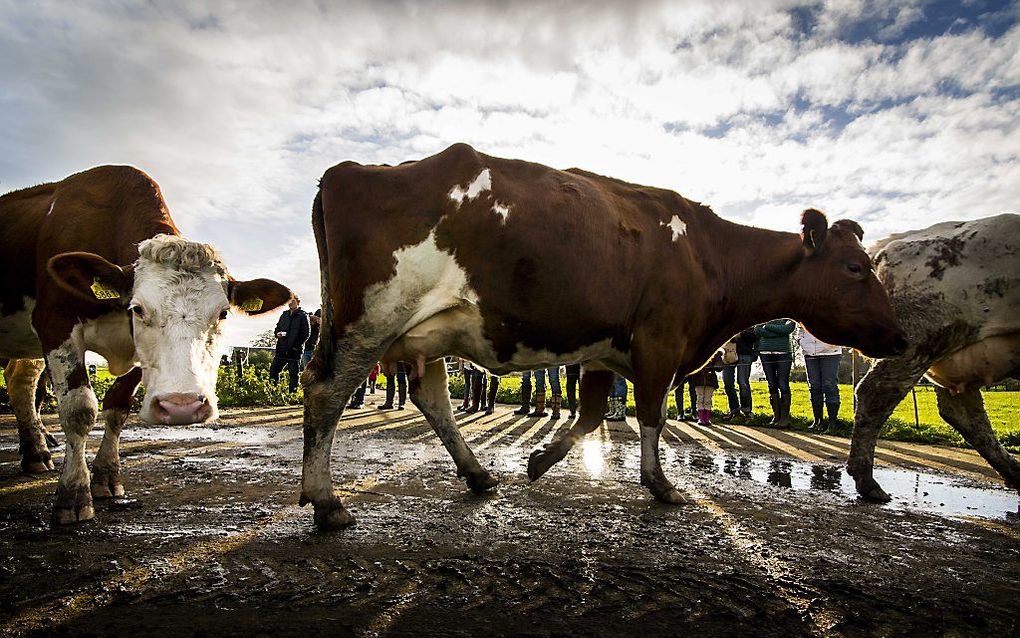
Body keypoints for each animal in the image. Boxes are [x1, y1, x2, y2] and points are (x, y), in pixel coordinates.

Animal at [1, 166, 293, 526]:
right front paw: (74, 492)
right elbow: (80, 410)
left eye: (223, 313)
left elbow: (117, 408)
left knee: (21, 383)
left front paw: (106, 476)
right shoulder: (55, 323)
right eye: (138, 309)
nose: (183, 406)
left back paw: (36, 451)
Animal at [297, 142, 905, 526]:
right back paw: (326, 502)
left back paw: (478, 475)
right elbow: (652, 414)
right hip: (371, 318)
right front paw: (661, 486)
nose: (900, 338)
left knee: (432, 397)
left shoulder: (599, 347)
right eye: (856, 268)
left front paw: (541, 460)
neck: (708, 254)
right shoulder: (661, 340)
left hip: (423, 332)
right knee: (325, 389)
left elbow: (590, 413)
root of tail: (350, 170)